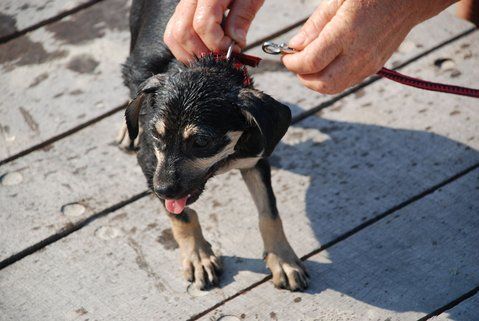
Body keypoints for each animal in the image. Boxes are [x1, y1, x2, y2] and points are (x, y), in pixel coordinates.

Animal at [122, 0, 310, 290]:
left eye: (201, 141)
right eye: (156, 135)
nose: (160, 190)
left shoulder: (255, 158)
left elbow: (269, 213)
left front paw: (283, 259)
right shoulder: (149, 162)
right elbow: (183, 215)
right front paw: (198, 257)